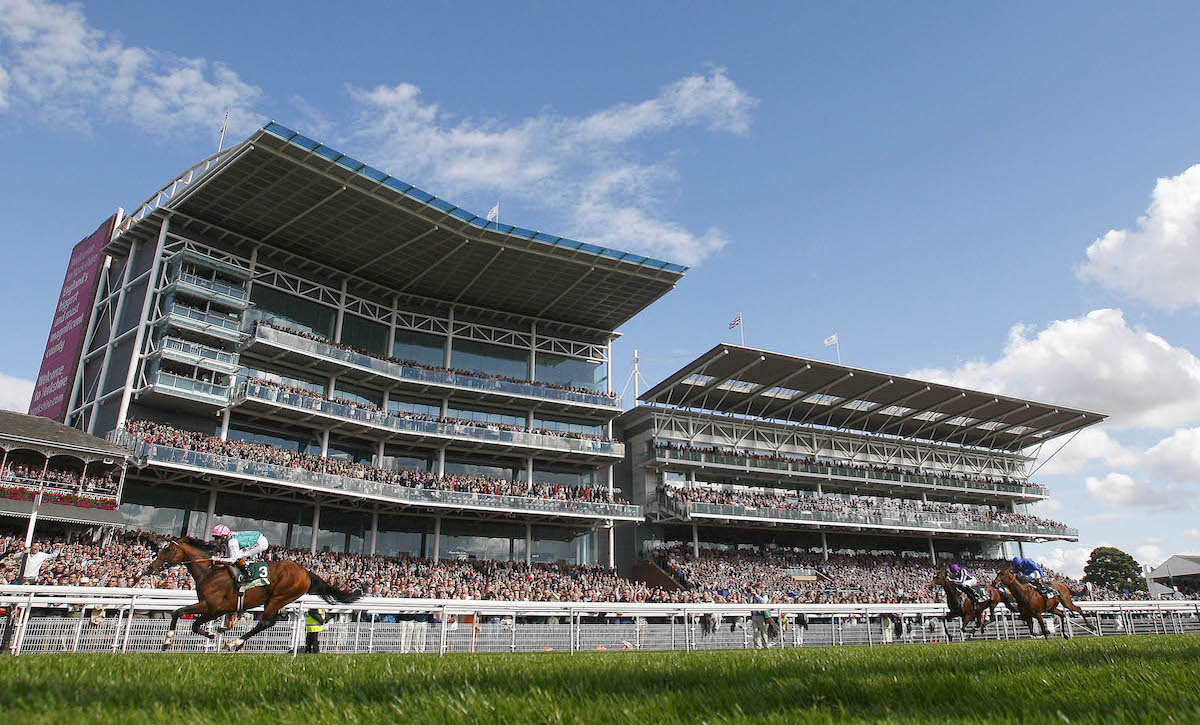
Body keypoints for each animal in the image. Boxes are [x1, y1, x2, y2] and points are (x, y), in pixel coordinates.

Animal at [143, 537, 357, 652]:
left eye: (169, 549)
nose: (151, 568)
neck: (209, 573)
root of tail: (305, 571)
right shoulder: (214, 609)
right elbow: (190, 621)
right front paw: (213, 633)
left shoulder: (212, 607)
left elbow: (180, 614)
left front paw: (168, 641)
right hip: (276, 600)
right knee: (273, 620)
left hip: (280, 596)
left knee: (266, 622)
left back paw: (234, 643)